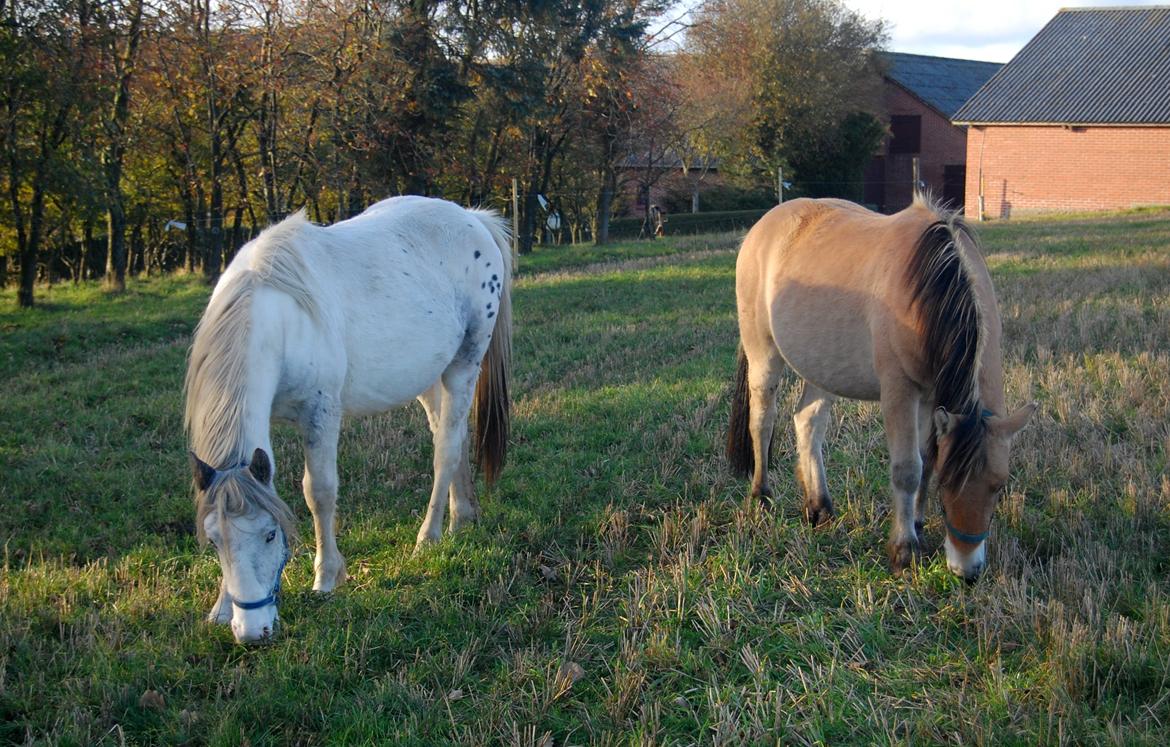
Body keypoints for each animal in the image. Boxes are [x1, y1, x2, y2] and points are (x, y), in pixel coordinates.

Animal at [183, 197, 512, 646]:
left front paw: (327, 577)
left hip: (464, 365)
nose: (252, 632)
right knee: (453, 435)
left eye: (271, 534)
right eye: (215, 542)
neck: (279, 315)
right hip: (429, 375)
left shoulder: (320, 414)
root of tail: (473, 218)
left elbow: (318, 492)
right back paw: (462, 516)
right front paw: (220, 608)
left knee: (445, 449)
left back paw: (428, 537)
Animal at [725, 196, 1038, 583]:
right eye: (947, 488)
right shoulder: (899, 392)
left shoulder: (930, 398)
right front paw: (904, 551)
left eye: (999, 485)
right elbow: (908, 469)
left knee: (807, 422)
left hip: (824, 368)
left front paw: (917, 526)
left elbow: (927, 459)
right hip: (763, 355)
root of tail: (761, 227)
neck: (929, 282)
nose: (968, 571)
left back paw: (819, 508)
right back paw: (761, 496)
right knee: (762, 422)